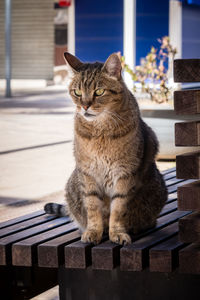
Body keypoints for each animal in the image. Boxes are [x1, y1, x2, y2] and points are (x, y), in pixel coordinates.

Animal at [45, 51, 167, 244]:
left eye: (99, 91)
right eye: (77, 92)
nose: (85, 106)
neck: (100, 131)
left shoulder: (125, 174)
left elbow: (118, 209)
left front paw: (116, 232)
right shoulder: (87, 173)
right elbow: (93, 208)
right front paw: (93, 231)